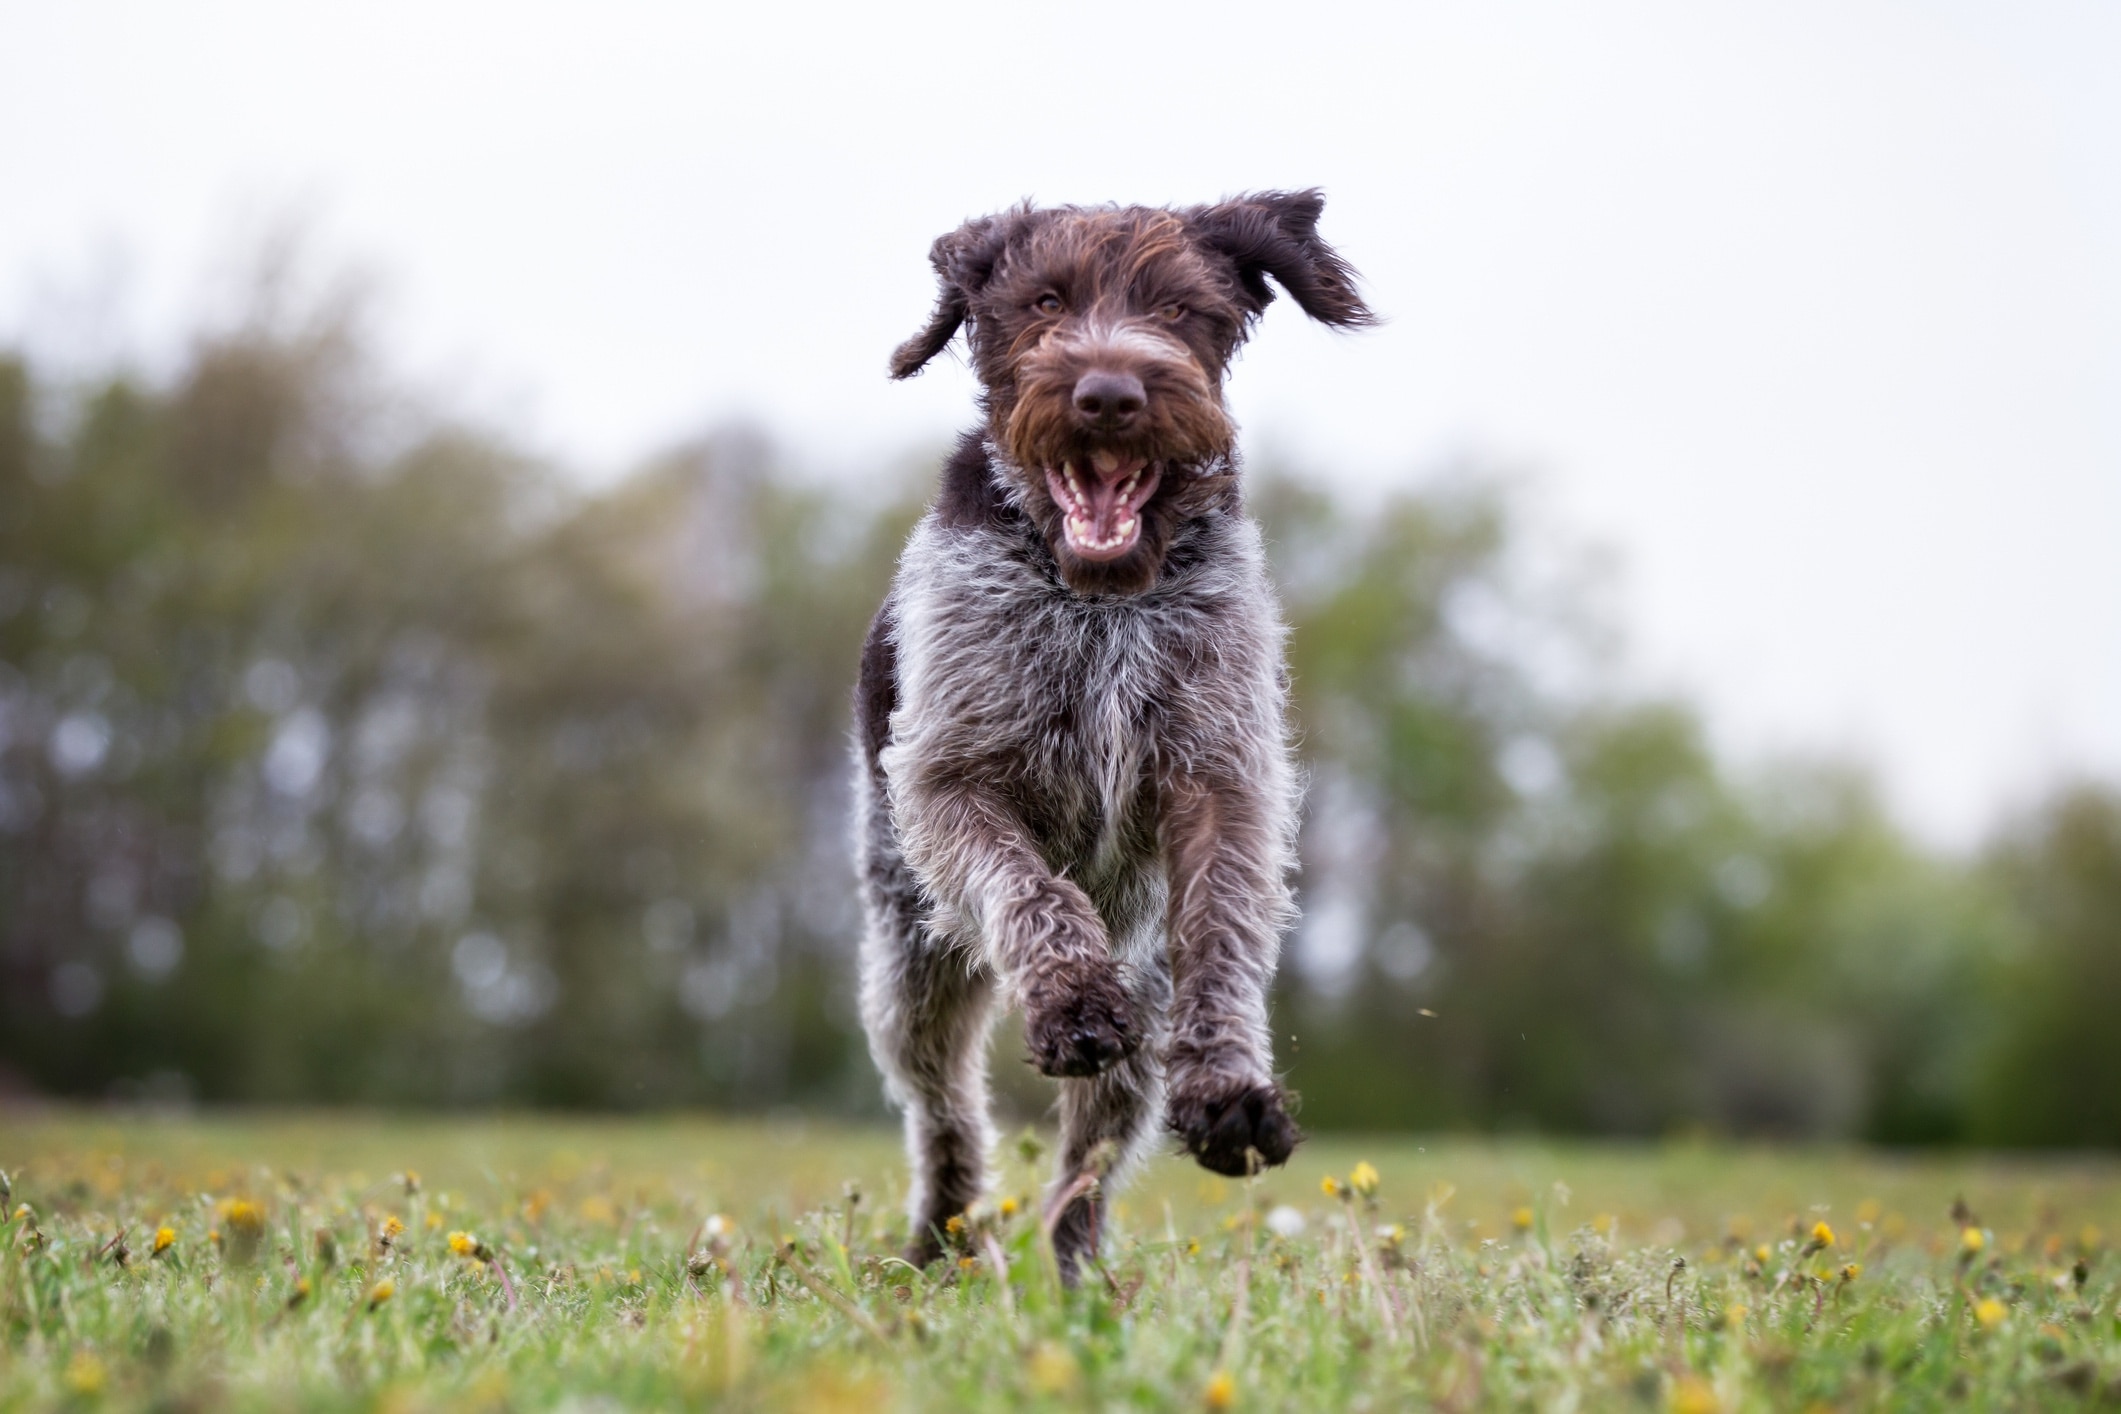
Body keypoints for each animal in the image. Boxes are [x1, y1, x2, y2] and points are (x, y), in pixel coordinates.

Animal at [856, 187, 1374, 1280]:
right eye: (1044, 301)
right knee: (944, 1108)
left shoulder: (1222, 776)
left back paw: (1076, 1274)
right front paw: (1072, 1001)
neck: (1096, 601)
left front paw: (1228, 1091)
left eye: (1178, 308)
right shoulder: (949, 783)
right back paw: (945, 1242)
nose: (1107, 394)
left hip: (1137, 1004)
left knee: (1086, 1161)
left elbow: (1222, 932)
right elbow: (1031, 891)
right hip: (910, 958)